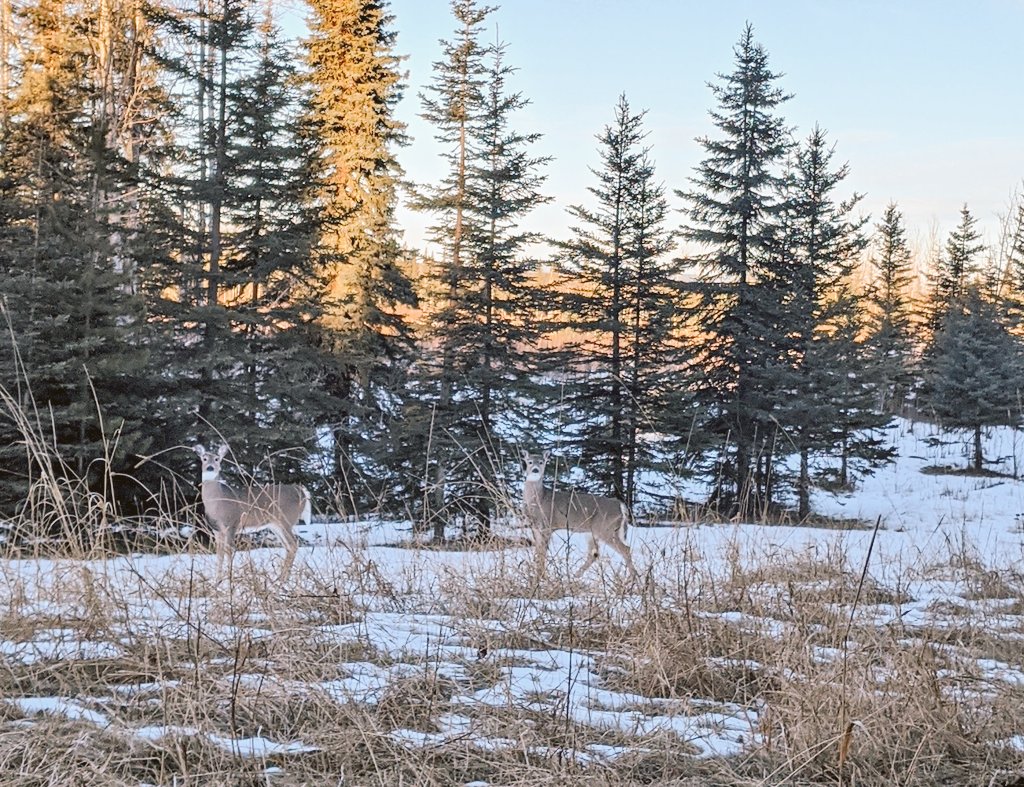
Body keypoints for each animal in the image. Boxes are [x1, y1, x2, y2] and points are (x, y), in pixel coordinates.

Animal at [192, 444, 311, 582]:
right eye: (204, 458)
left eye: (217, 459)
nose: (210, 467)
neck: (217, 501)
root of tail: (301, 492)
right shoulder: (216, 529)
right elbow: (219, 553)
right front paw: (218, 580)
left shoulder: (232, 523)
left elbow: (229, 551)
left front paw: (229, 579)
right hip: (275, 524)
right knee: (288, 546)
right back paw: (281, 578)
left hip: (286, 519)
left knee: (293, 544)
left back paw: (283, 579)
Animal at [521, 450, 638, 580]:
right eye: (529, 462)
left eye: (541, 462)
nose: (535, 470)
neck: (537, 501)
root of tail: (620, 506)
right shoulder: (535, 527)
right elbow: (538, 550)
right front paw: (536, 573)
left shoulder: (548, 524)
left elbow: (543, 551)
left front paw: (541, 576)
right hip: (593, 532)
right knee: (594, 554)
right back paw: (575, 575)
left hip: (606, 528)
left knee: (625, 549)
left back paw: (633, 578)